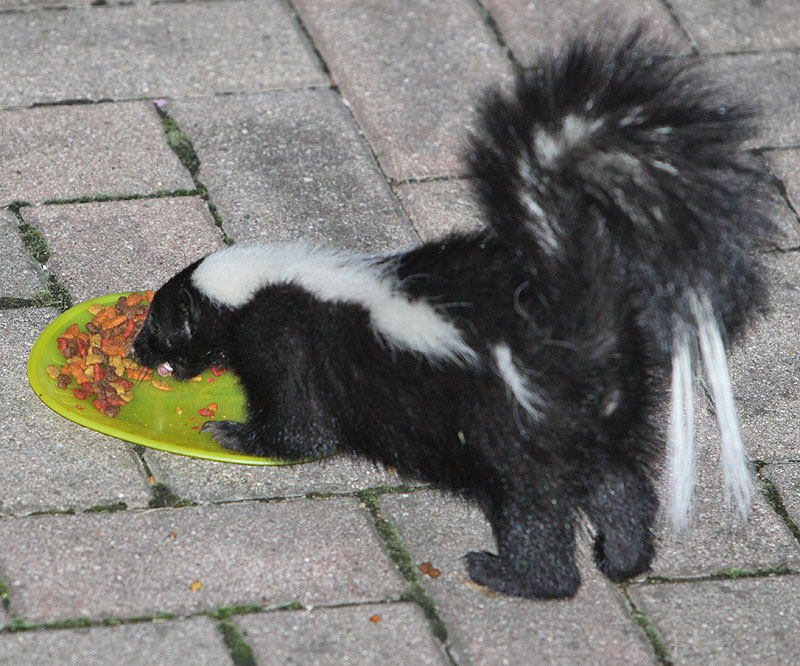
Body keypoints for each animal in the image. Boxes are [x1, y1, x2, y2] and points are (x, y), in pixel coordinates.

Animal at [134, 27, 772, 596]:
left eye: (159, 322)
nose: (138, 351)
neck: (272, 282)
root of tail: (577, 328)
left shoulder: (285, 338)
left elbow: (302, 429)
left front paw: (233, 431)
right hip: (595, 423)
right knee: (619, 486)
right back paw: (621, 557)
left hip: (512, 429)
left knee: (535, 506)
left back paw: (512, 575)